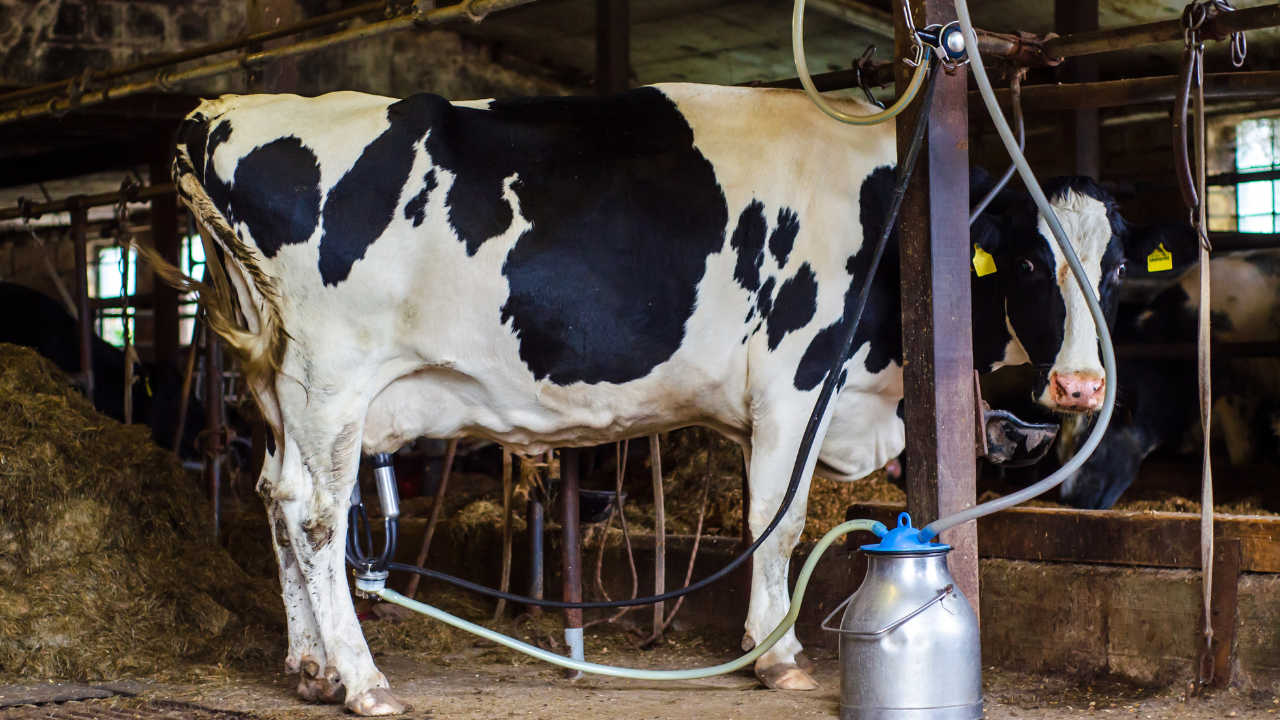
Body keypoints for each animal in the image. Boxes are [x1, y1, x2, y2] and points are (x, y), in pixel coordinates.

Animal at [170, 87, 1187, 707]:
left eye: (1114, 267)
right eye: (1029, 264)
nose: (1082, 383)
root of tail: (228, 110)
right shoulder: (797, 381)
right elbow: (778, 519)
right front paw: (777, 656)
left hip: (275, 385)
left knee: (274, 500)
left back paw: (308, 667)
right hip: (330, 376)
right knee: (313, 513)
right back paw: (361, 679)